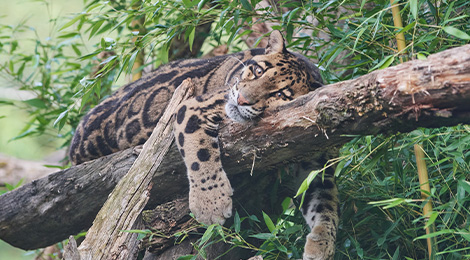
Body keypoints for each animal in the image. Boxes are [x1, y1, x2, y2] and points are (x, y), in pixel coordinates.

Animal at [70, 31, 338, 258]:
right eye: (257, 71)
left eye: (281, 94)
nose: (241, 99)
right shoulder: (193, 107)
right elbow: (201, 155)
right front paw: (211, 204)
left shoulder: (315, 157)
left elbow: (326, 203)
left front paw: (322, 245)